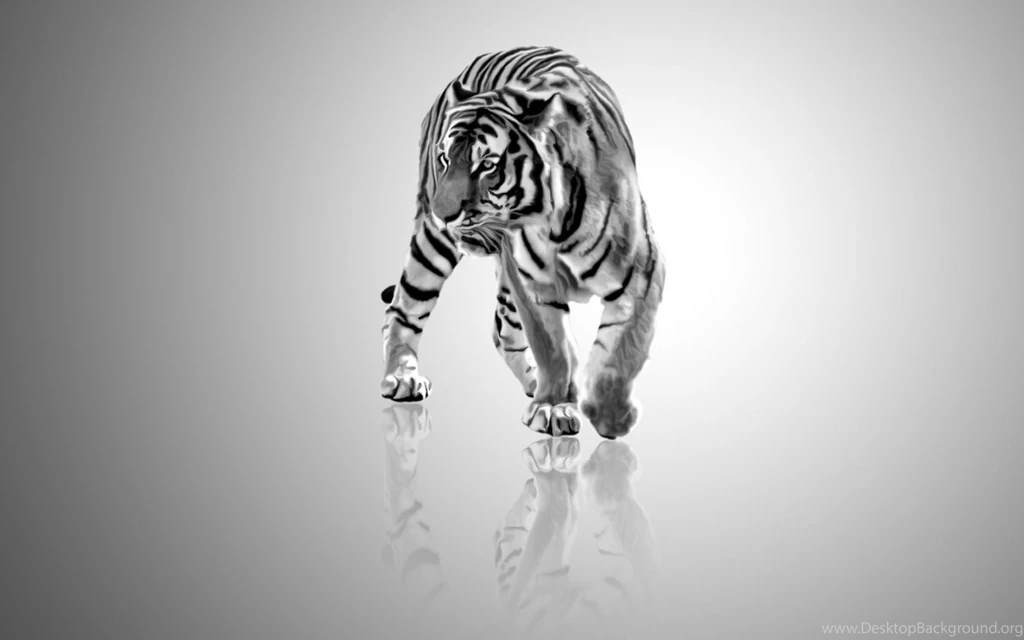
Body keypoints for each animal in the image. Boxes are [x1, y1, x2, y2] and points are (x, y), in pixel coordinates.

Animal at [379, 46, 666, 439]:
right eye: (445, 159)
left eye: (487, 165)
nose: (442, 214)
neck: (555, 223)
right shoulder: (535, 286)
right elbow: (554, 347)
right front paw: (554, 407)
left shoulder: (640, 275)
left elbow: (622, 349)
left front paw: (609, 416)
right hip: (433, 247)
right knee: (403, 306)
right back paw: (402, 377)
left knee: (501, 329)